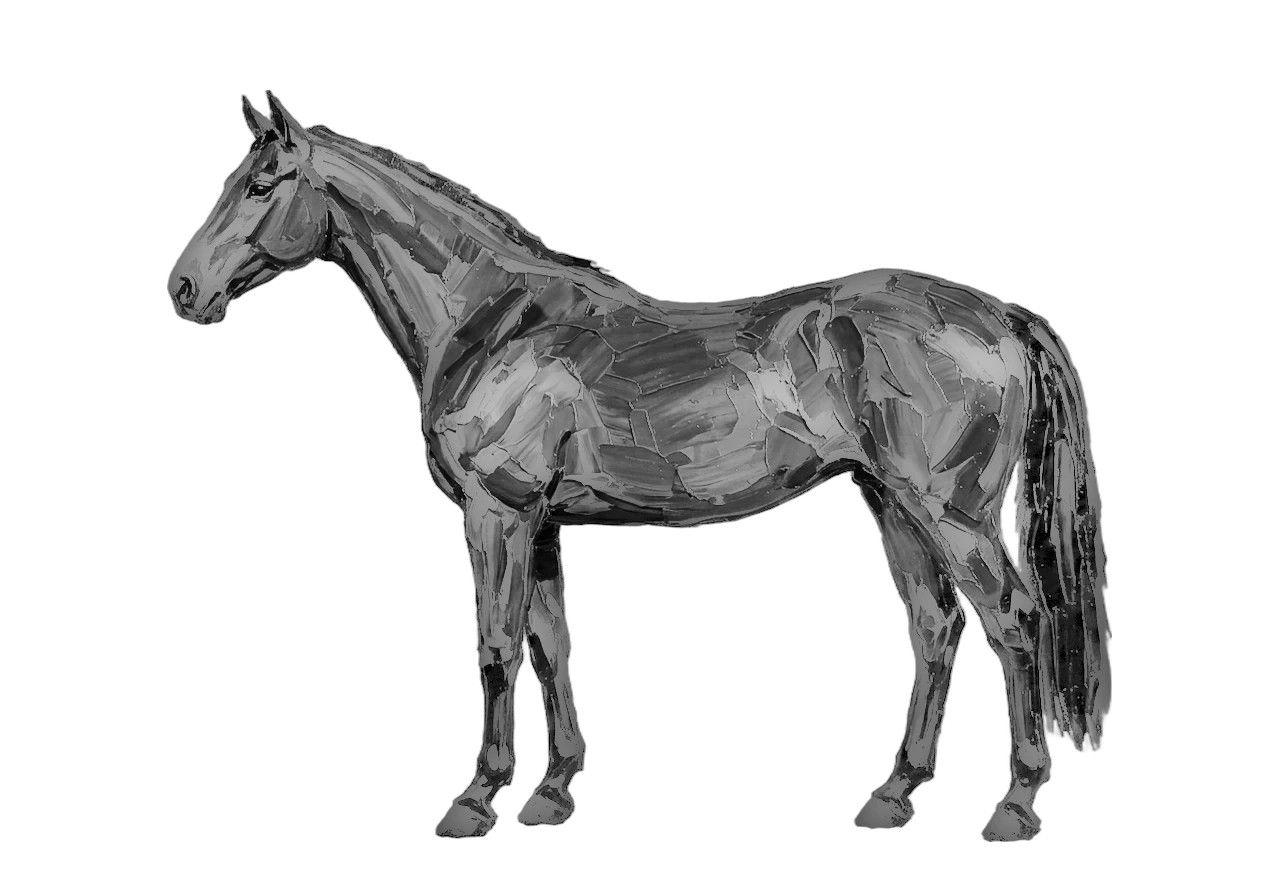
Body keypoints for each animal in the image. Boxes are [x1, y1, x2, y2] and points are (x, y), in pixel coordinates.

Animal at [166, 93, 1108, 841]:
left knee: (1015, 624)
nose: (181, 290)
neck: (493, 318)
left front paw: (474, 802)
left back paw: (1013, 811)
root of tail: (1002, 318)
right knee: (936, 628)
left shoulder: (499, 513)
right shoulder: (543, 524)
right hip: (894, 505)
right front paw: (550, 795)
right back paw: (894, 796)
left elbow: (496, 644)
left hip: (960, 515)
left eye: (261, 185)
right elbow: (550, 646)